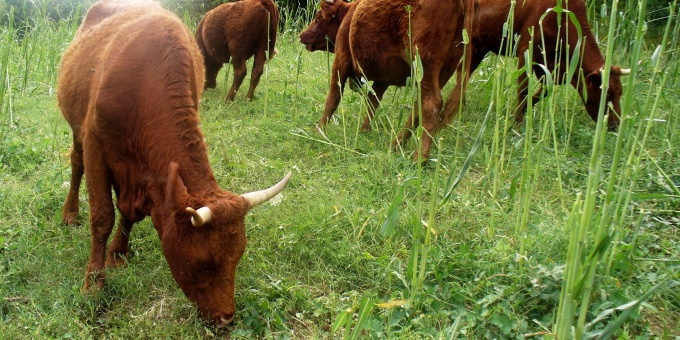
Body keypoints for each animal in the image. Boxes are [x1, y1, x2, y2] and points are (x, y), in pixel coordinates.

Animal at [58, 0, 290, 330]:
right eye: (205, 263)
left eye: (238, 256)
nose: (226, 318)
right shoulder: (95, 146)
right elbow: (102, 217)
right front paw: (93, 282)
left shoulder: (145, 177)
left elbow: (128, 214)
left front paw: (118, 254)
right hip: (76, 128)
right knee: (76, 165)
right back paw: (70, 213)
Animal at [300, 0, 476, 160]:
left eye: (318, 17)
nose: (301, 35)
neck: (349, 14)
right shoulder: (382, 81)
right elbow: (372, 103)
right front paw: (364, 130)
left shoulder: (341, 61)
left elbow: (333, 99)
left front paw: (319, 129)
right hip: (443, 71)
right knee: (418, 106)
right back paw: (396, 144)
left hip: (424, 64)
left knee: (432, 104)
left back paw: (419, 157)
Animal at [440, 0, 632, 129]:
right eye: (607, 94)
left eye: (620, 93)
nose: (616, 125)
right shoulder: (526, 52)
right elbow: (523, 89)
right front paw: (517, 121)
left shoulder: (554, 68)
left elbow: (543, 91)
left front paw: (523, 109)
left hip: (480, 44)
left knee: (463, 71)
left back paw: (462, 102)